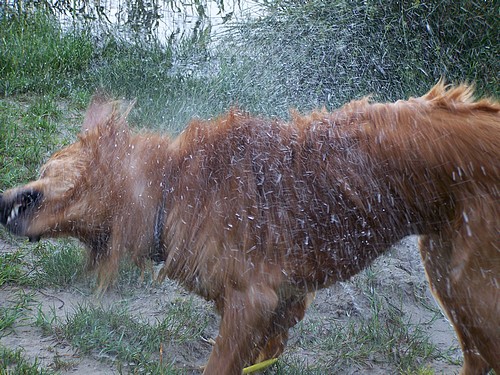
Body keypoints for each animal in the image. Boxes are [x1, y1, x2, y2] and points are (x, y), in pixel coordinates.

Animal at [0, 83, 500, 375]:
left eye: (47, 175)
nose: (4, 201)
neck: (173, 190)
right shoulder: (280, 311)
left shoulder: (251, 303)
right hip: (447, 275)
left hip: (471, 288)